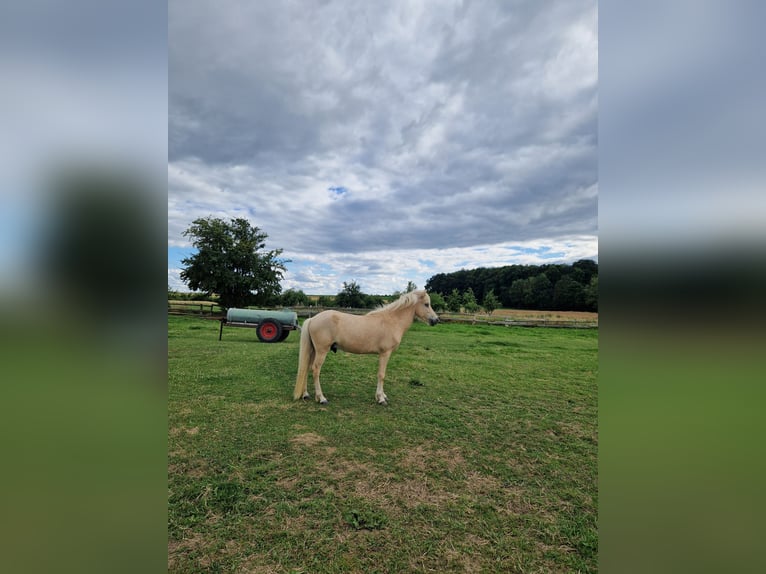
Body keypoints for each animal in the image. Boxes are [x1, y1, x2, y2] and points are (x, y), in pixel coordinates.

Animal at [294, 290, 440, 408]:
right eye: (426, 304)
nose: (436, 320)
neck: (391, 320)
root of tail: (313, 319)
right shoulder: (385, 353)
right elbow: (381, 375)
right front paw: (381, 399)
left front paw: (382, 396)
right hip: (321, 351)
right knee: (315, 370)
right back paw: (321, 398)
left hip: (314, 351)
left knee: (306, 368)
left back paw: (305, 394)